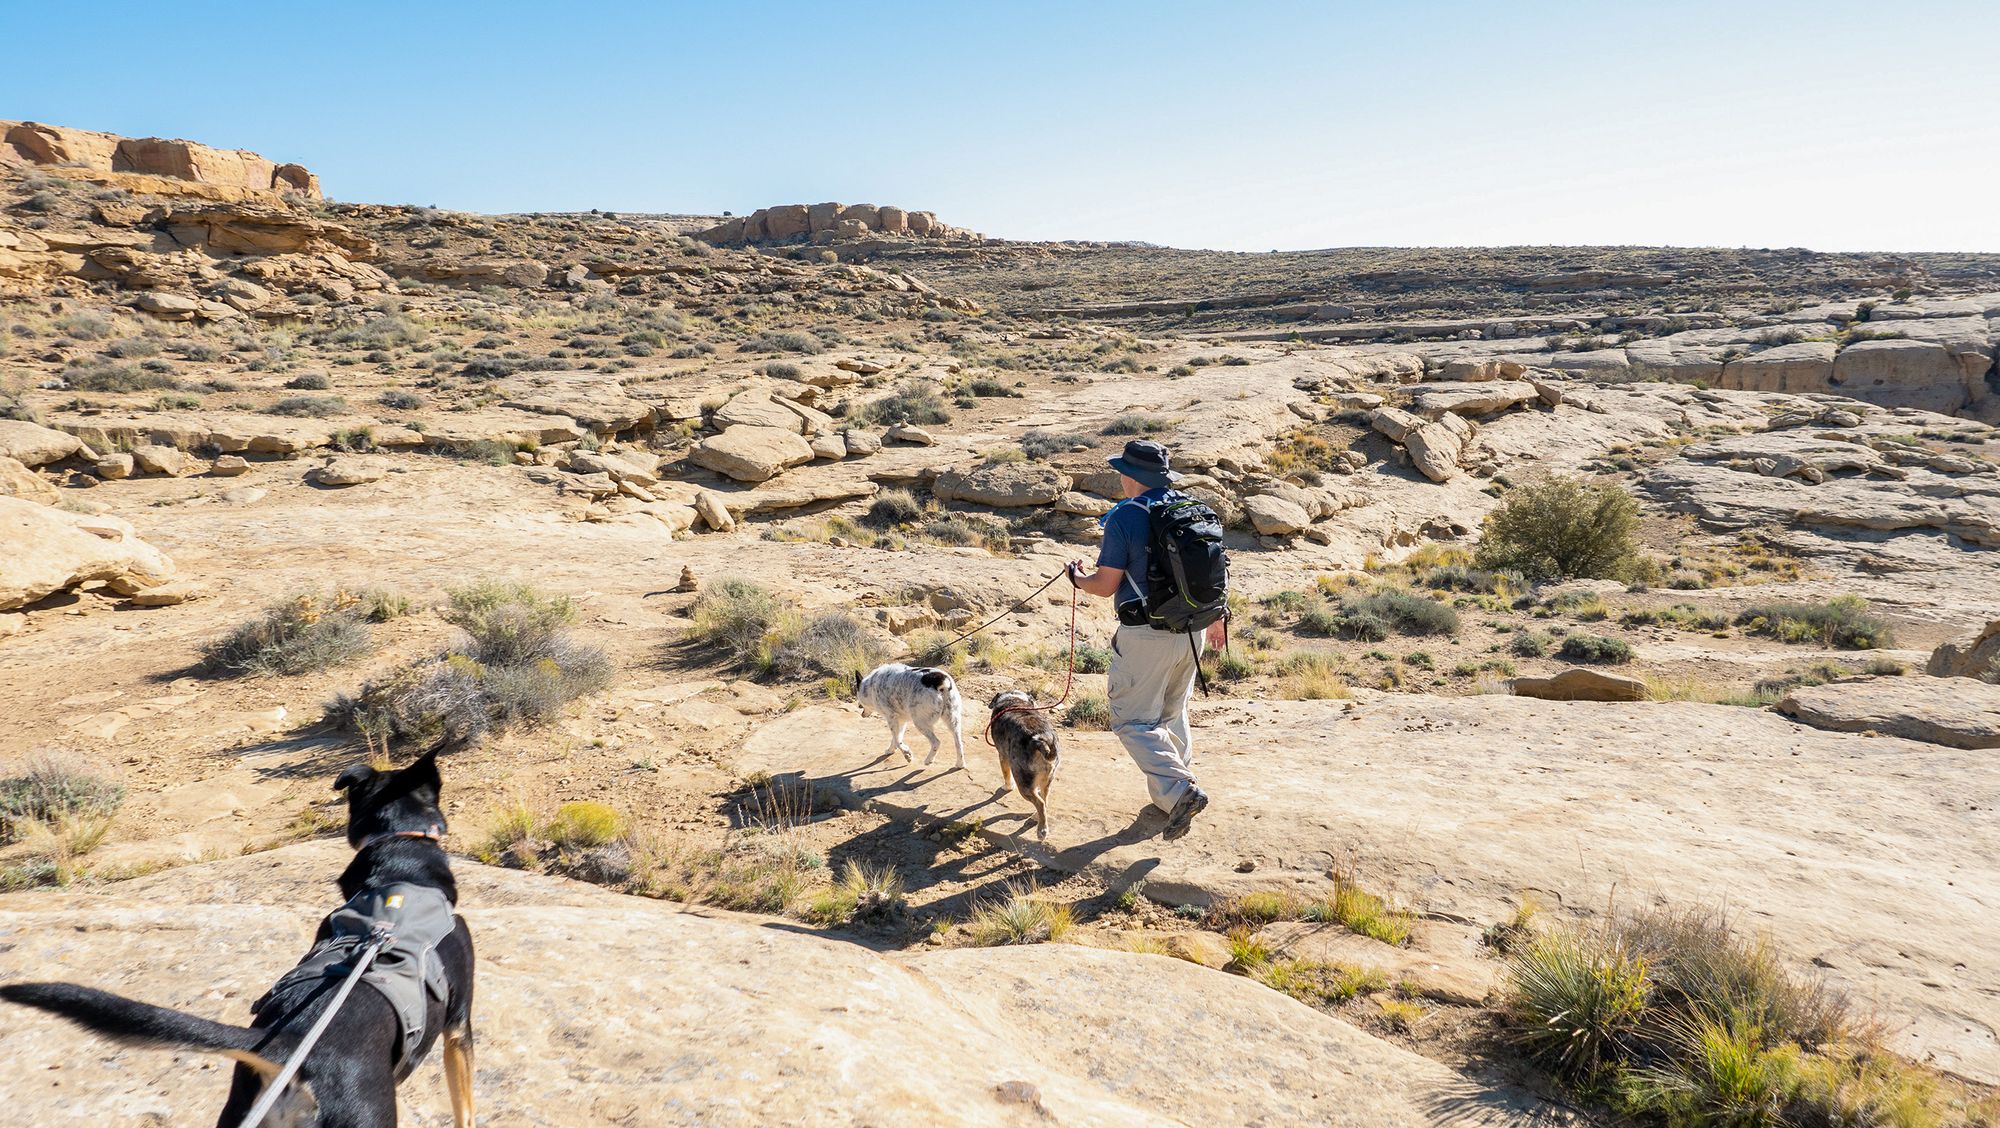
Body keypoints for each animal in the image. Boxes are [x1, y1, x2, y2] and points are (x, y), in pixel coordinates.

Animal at [984, 688, 1064, 836]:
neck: (1013, 699)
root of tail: (1042, 741)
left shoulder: (1002, 756)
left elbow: (1006, 775)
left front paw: (1007, 787)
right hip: (1048, 778)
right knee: (1044, 800)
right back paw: (1036, 818)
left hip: (1023, 783)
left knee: (1040, 803)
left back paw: (1042, 830)